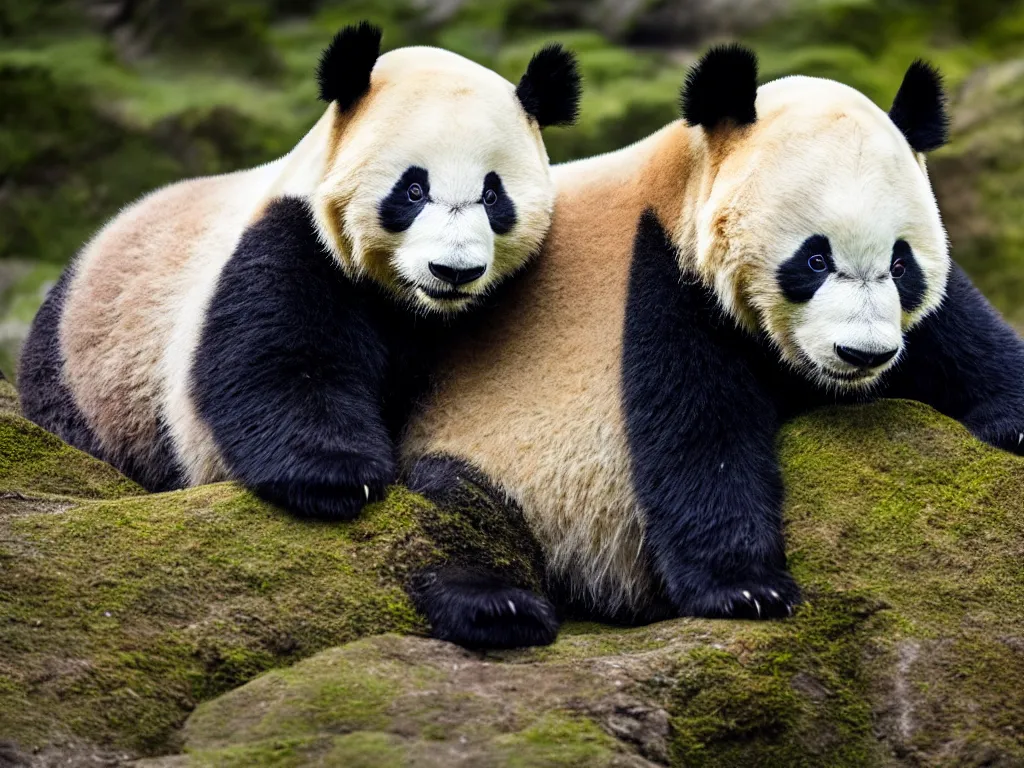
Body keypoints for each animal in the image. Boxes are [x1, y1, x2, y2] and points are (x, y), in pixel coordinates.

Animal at [19, 22, 585, 524]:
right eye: (413, 190)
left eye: (492, 196)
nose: (454, 270)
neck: (414, 305)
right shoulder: (291, 239)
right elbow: (280, 360)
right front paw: (337, 480)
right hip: (88, 372)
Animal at [399, 46, 1024, 651]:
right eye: (814, 260)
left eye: (900, 265)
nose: (863, 354)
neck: (686, 174)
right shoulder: (663, 280)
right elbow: (699, 434)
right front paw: (748, 590)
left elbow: (970, 345)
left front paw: (1010, 424)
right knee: (453, 511)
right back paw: (495, 607)